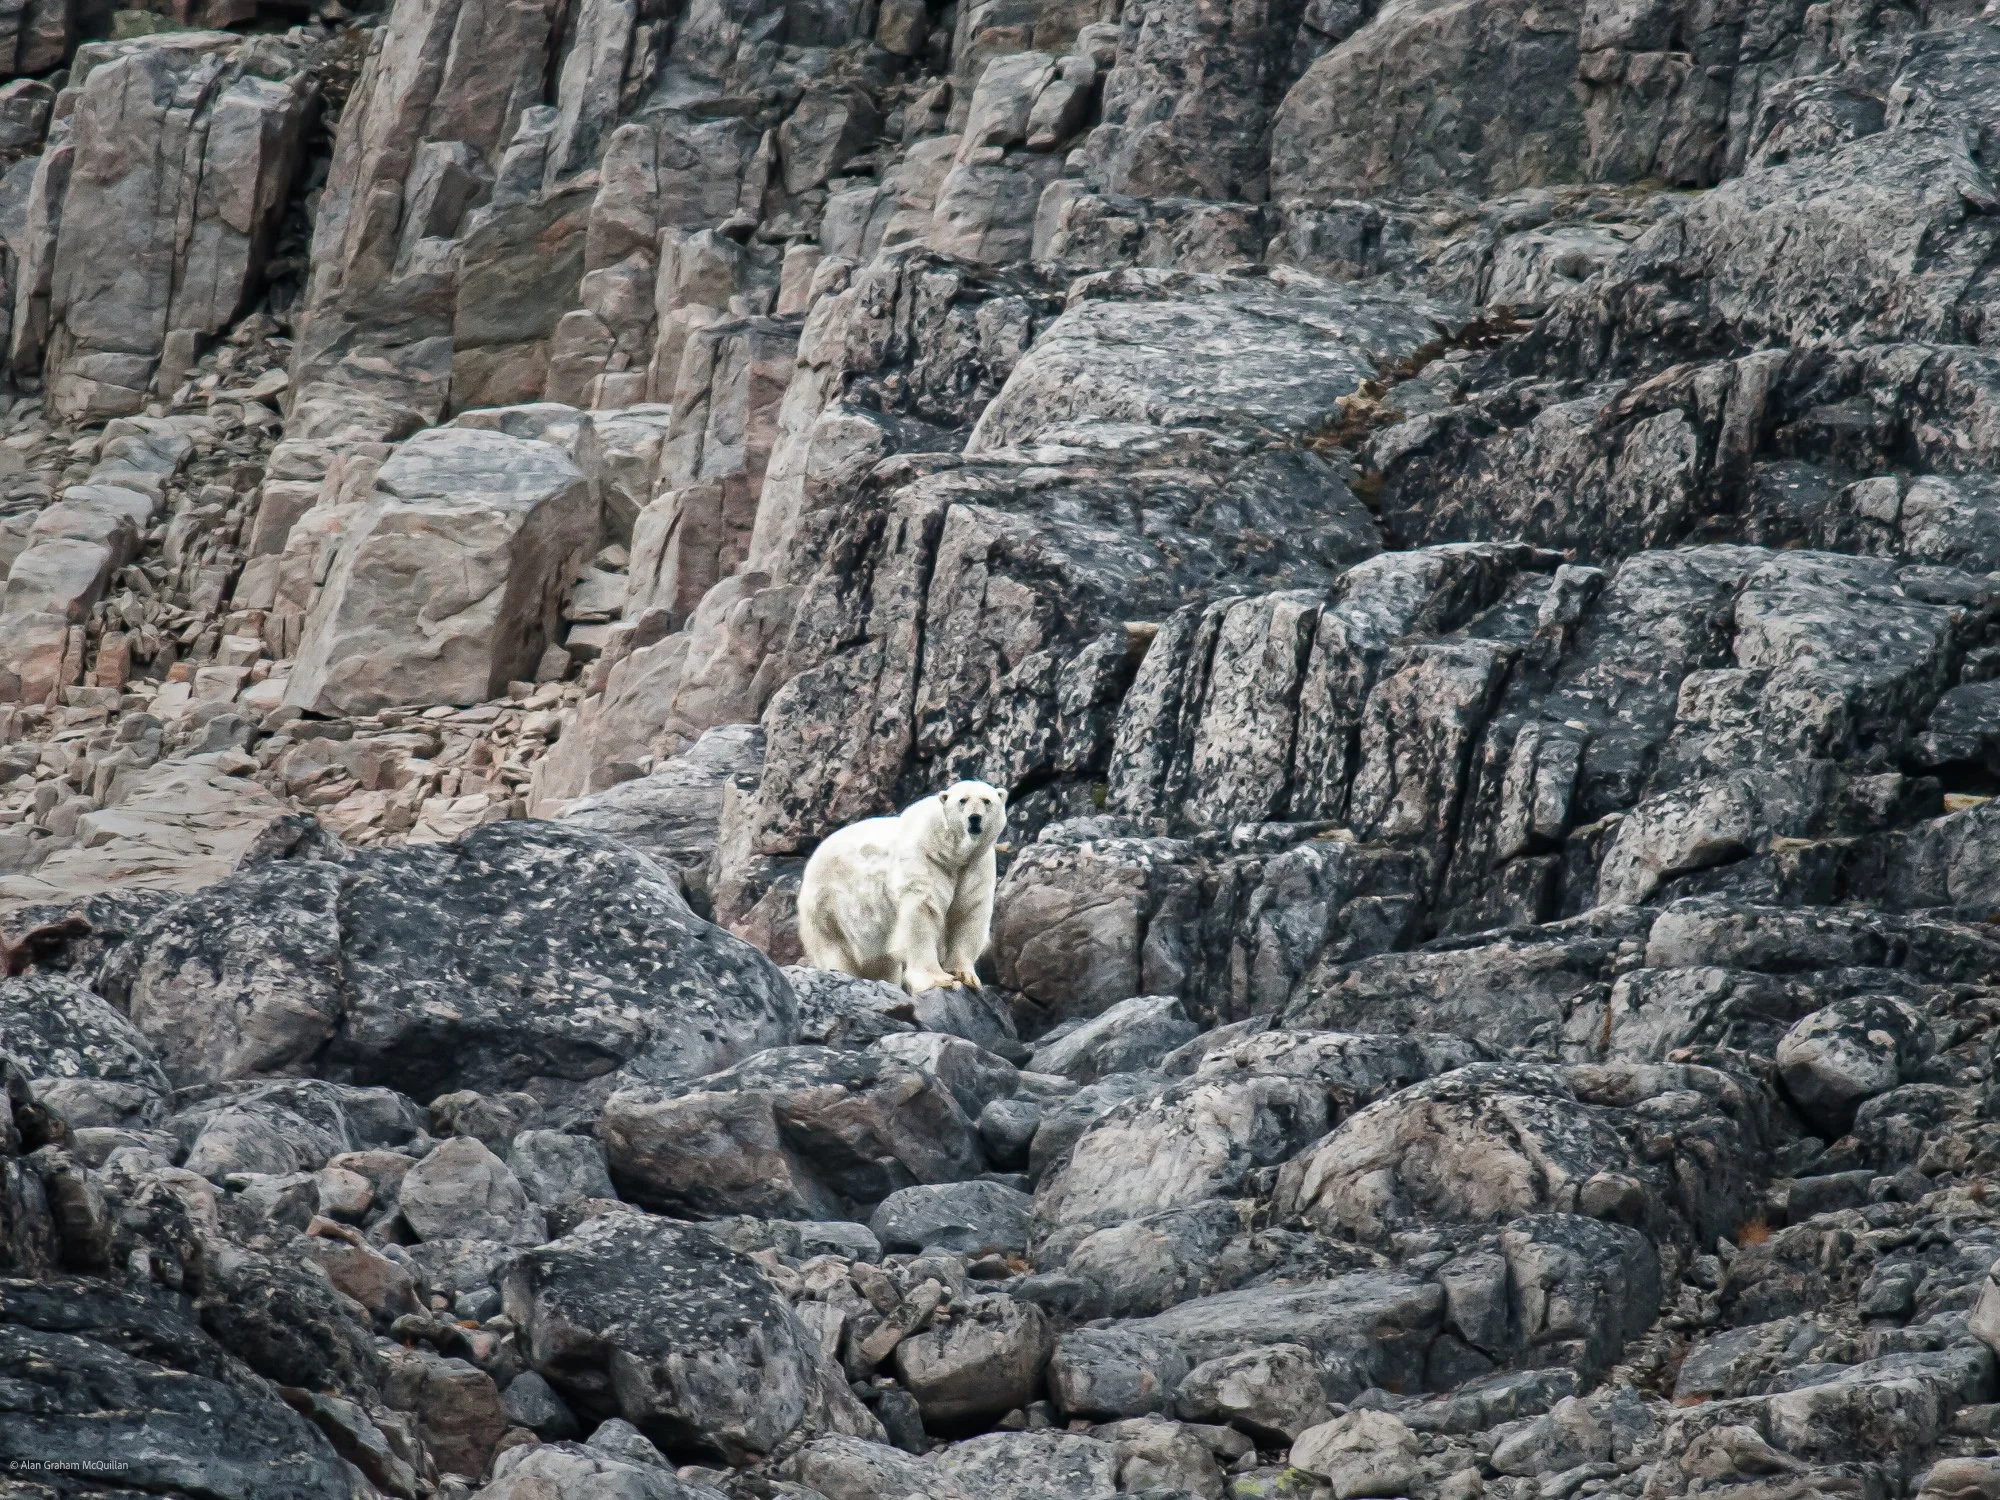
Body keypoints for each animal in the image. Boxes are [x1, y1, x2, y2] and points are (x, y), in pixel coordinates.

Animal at [796, 780, 1008, 994]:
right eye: (962, 800)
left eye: (986, 800)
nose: (975, 818)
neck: (952, 853)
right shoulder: (925, 858)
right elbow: (922, 913)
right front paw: (939, 980)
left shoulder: (976, 865)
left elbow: (969, 912)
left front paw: (966, 976)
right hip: (829, 904)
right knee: (834, 946)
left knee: (880, 962)